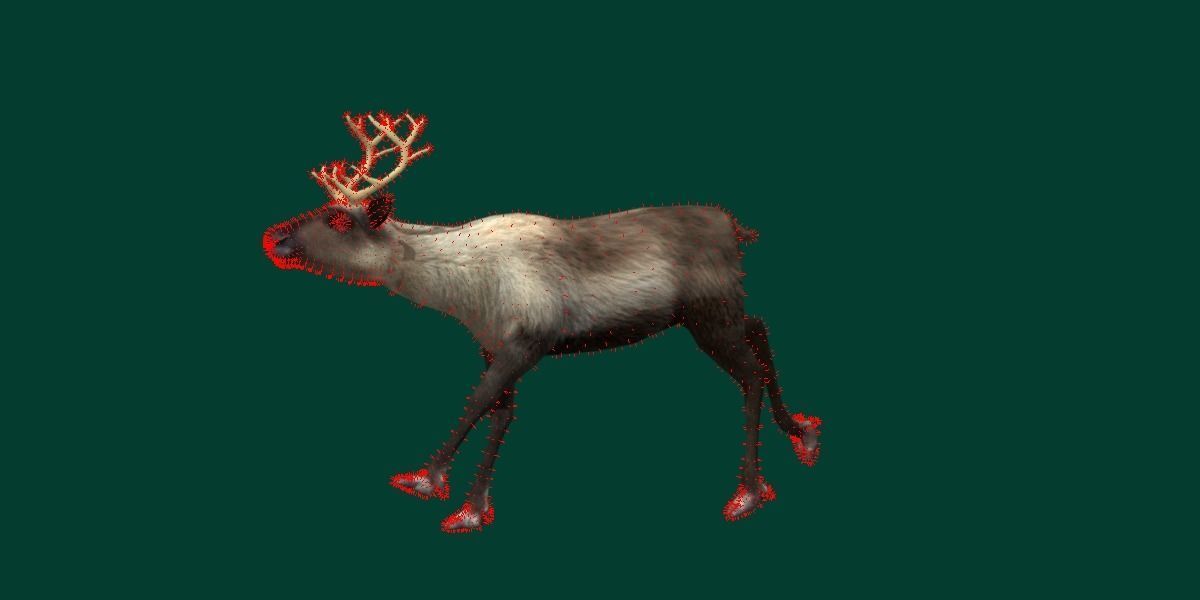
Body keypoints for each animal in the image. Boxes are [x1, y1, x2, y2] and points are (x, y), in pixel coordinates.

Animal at [262, 110, 823, 533]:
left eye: (339, 219)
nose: (274, 239)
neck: (460, 288)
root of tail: (735, 228)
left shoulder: (529, 339)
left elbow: (480, 402)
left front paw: (426, 479)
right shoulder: (492, 343)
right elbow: (502, 413)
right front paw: (472, 509)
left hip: (708, 315)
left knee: (749, 372)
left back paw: (748, 493)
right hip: (721, 309)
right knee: (762, 328)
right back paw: (802, 432)